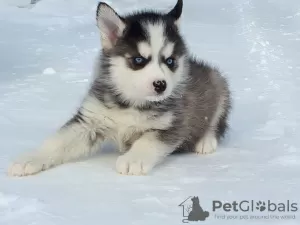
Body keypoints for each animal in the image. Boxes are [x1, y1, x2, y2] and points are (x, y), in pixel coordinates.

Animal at [8, 0, 231, 176]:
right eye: (138, 60)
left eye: (170, 61)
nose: (161, 85)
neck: (131, 103)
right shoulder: (89, 122)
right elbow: (57, 141)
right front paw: (30, 158)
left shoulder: (172, 124)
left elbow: (148, 141)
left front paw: (133, 160)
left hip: (219, 83)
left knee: (216, 119)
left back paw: (206, 141)